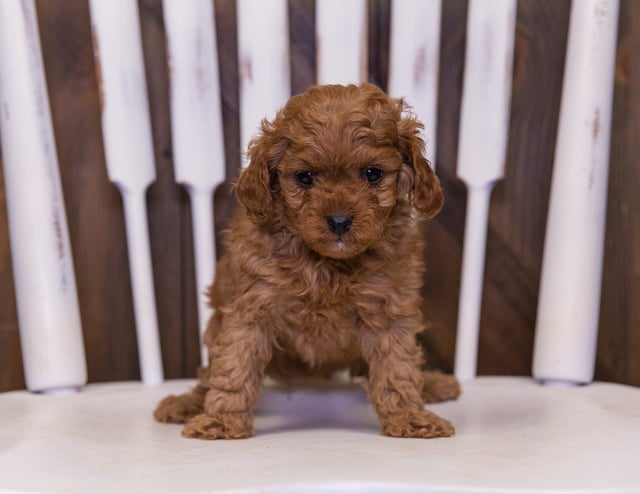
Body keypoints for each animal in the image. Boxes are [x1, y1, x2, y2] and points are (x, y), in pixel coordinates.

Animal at [155, 83, 460, 438]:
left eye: (372, 174)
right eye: (305, 177)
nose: (339, 221)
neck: (328, 265)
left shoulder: (388, 308)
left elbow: (397, 367)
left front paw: (411, 417)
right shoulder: (252, 306)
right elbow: (234, 366)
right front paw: (221, 420)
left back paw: (433, 384)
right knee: (207, 376)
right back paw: (187, 403)